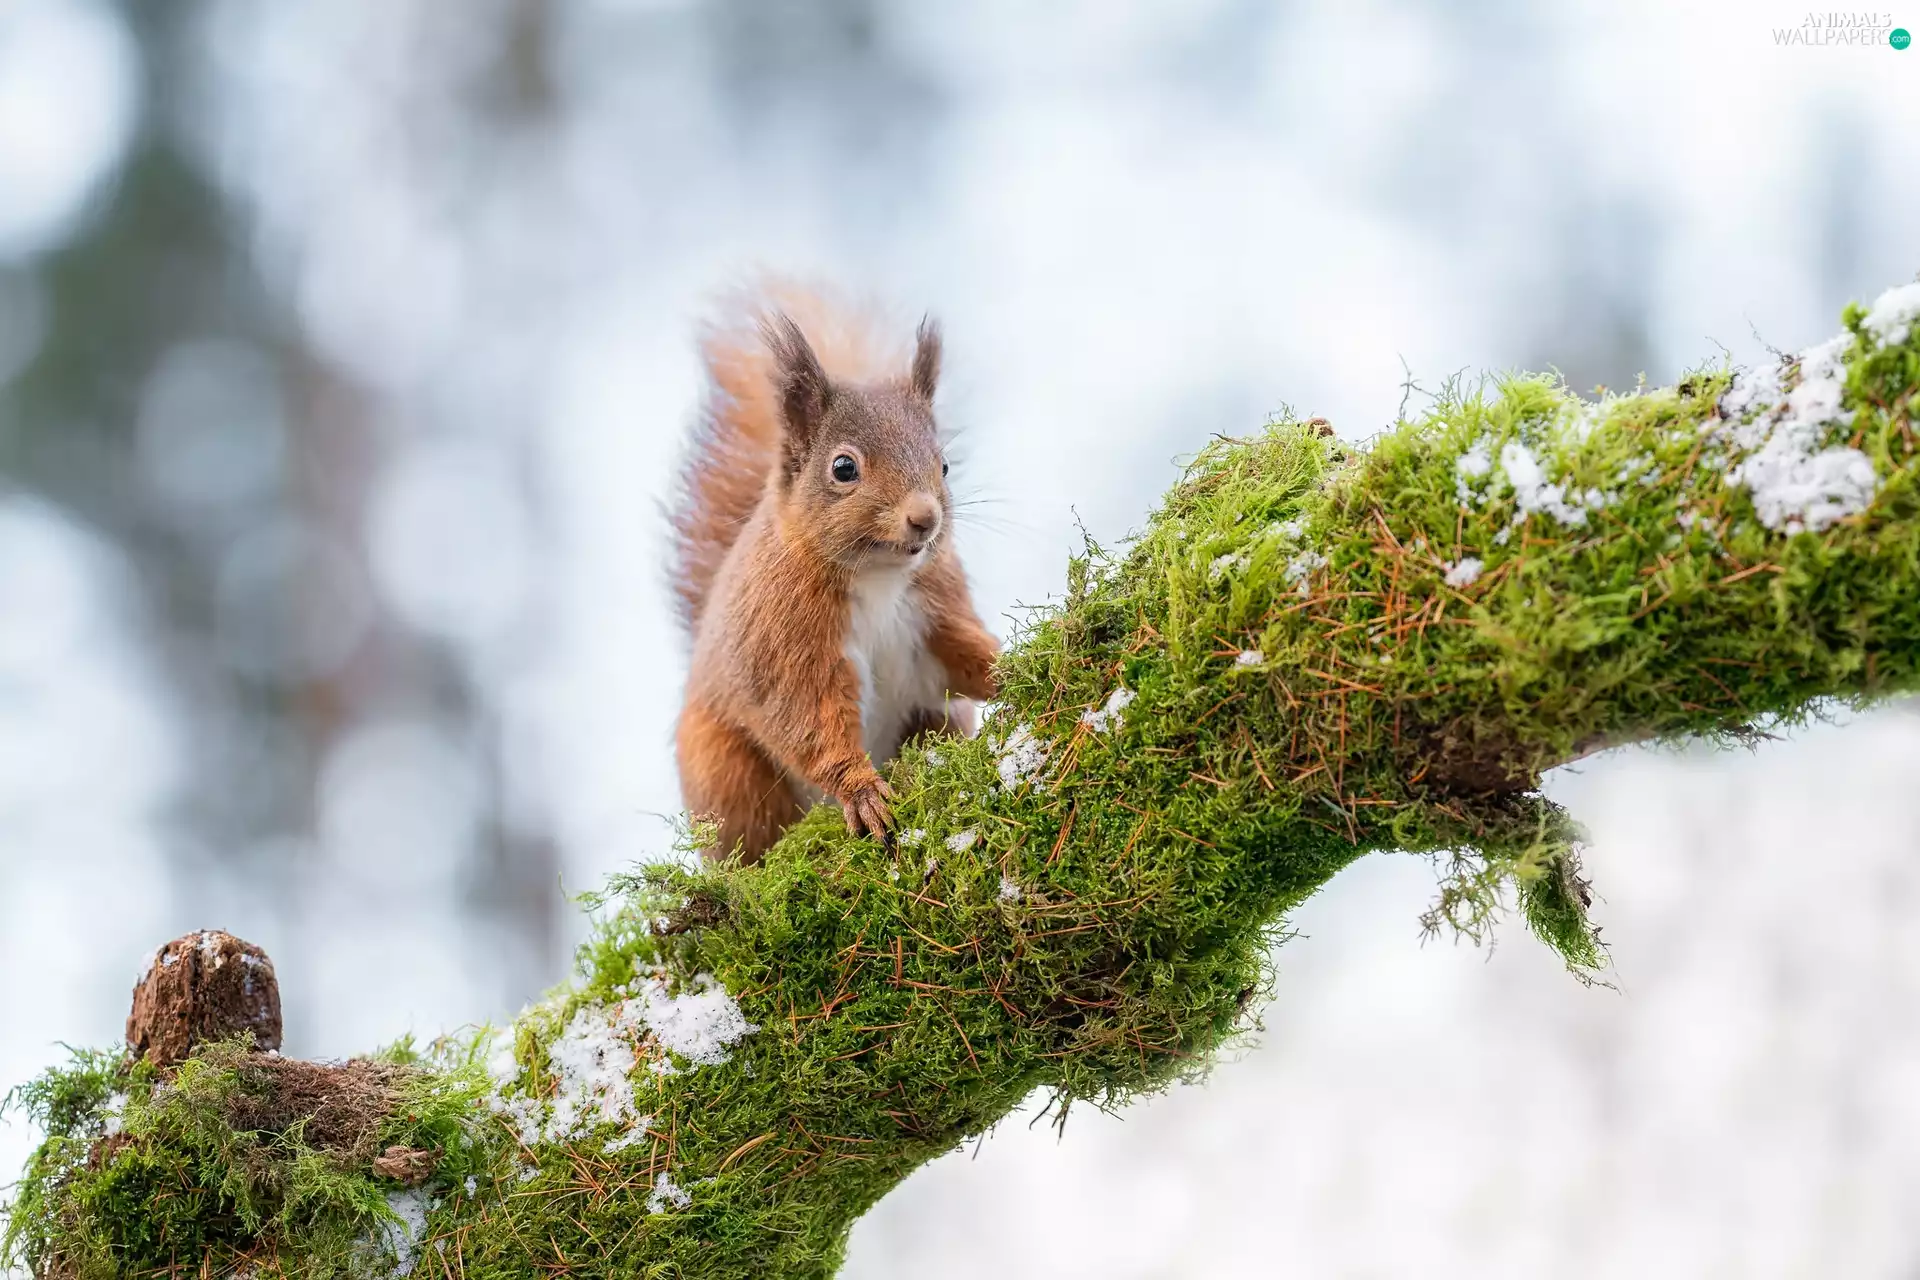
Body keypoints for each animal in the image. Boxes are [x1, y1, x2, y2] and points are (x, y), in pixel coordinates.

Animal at [669, 283, 1000, 864]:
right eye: (843, 468)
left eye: (943, 466)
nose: (925, 518)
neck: (878, 574)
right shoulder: (784, 637)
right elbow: (806, 719)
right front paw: (862, 792)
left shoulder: (934, 607)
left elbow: (964, 653)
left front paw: (1015, 665)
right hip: (725, 770)